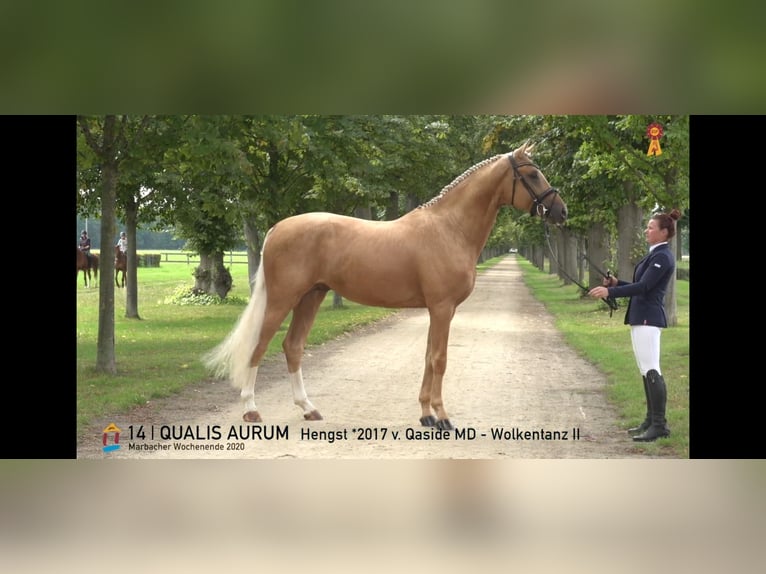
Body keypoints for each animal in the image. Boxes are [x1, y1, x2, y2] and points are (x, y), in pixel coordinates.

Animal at [204, 142, 567, 430]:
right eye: (532, 175)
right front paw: (443, 417)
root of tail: (278, 227)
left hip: (312, 296)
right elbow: (439, 359)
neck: (449, 228)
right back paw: (251, 410)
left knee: (293, 347)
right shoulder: (442, 307)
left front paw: (426, 415)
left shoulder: (439, 310)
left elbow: (428, 356)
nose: (561, 212)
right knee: (259, 346)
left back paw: (309, 409)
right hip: (283, 299)